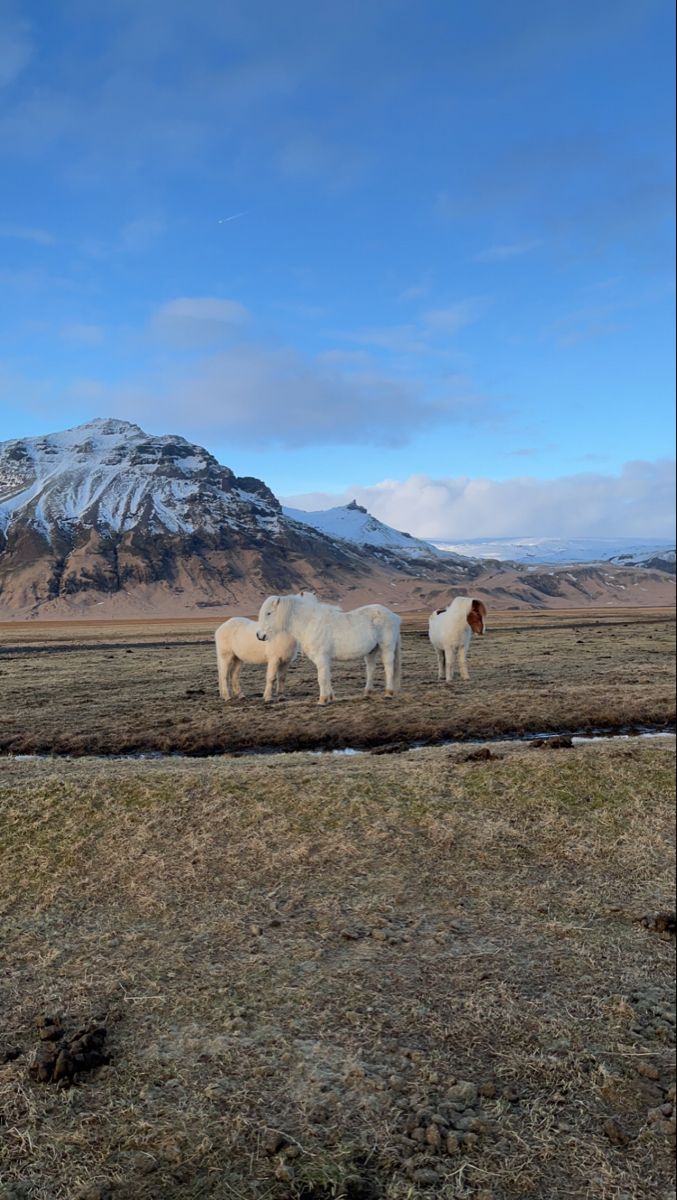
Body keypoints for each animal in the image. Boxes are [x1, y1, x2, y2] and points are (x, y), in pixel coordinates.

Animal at [256, 592, 398, 700]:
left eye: (268, 613)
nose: (259, 635)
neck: (309, 623)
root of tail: (393, 615)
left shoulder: (321, 657)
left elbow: (322, 678)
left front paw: (323, 700)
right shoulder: (324, 659)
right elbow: (327, 676)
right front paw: (330, 697)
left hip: (387, 648)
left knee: (389, 668)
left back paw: (388, 693)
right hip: (371, 651)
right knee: (370, 669)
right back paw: (367, 692)